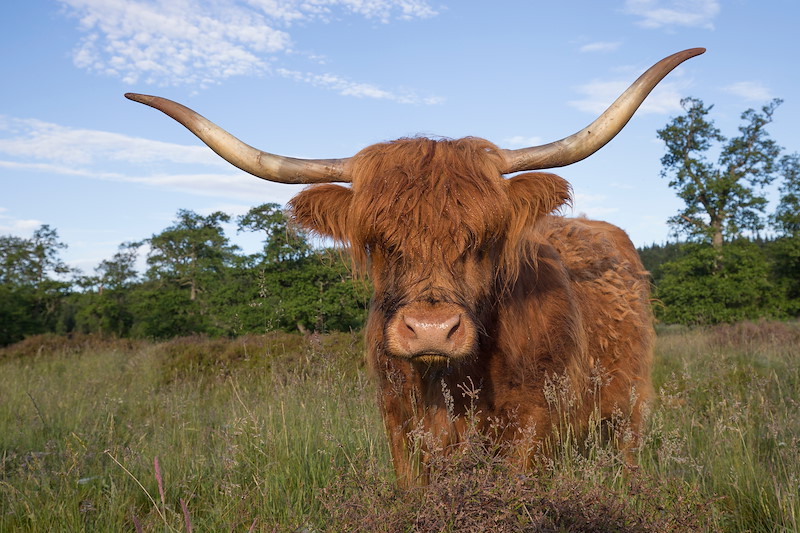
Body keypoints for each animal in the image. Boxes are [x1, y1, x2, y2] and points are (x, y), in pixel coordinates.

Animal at [126, 48, 704, 486]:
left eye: (483, 240)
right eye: (381, 243)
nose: (430, 329)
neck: (448, 385)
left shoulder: (533, 426)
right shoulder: (398, 425)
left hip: (626, 409)